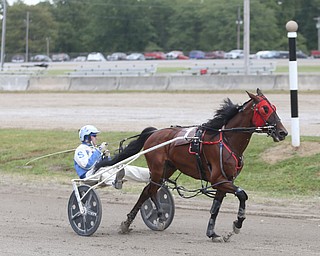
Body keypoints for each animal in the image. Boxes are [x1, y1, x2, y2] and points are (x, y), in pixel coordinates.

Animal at [98, 88, 288, 242]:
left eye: (274, 107)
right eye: (265, 109)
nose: (283, 132)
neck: (227, 140)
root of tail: (155, 132)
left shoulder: (224, 181)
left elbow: (215, 208)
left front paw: (213, 233)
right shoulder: (218, 179)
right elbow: (242, 194)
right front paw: (237, 224)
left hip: (167, 169)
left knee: (149, 190)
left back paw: (149, 219)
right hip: (158, 169)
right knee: (148, 191)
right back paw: (138, 220)